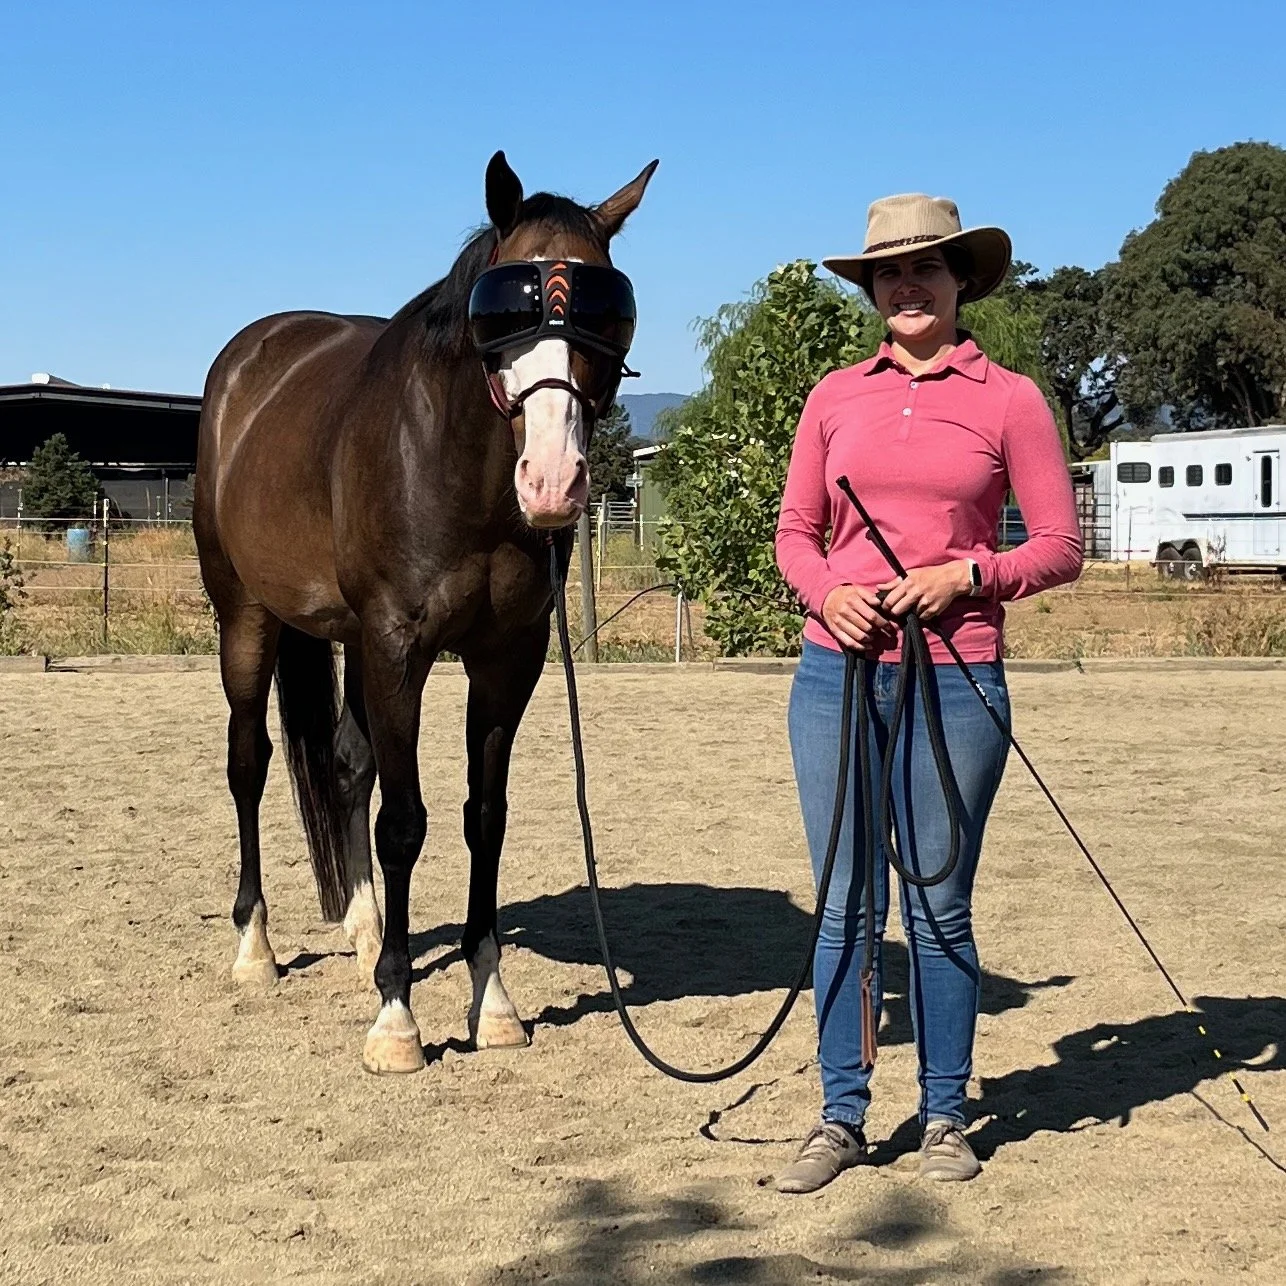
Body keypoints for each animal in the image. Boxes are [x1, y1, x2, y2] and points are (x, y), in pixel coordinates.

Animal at [193, 151, 657, 1073]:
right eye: (504, 306)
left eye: (606, 308)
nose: (553, 481)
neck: (454, 466)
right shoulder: (398, 649)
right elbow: (404, 823)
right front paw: (397, 1017)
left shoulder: (505, 659)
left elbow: (486, 819)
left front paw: (493, 1003)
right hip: (248, 621)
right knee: (249, 764)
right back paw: (257, 948)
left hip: (345, 641)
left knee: (342, 765)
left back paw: (369, 930)